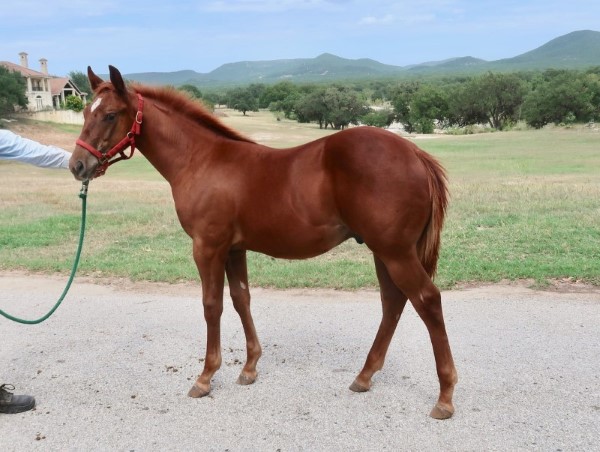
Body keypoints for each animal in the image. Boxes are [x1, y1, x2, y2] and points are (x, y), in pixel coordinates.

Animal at [70, 65, 458, 418]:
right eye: (86, 112)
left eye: (109, 114)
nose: (77, 165)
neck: (201, 160)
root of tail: (416, 154)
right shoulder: (233, 249)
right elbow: (241, 299)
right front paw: (249, 368)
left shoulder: (207, 247)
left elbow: (212, 305)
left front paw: (205, 377)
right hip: (384, 251)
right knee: (393, 302)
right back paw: (364, 376)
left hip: (395, 252)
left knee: (427, 300)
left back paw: (444, 396)